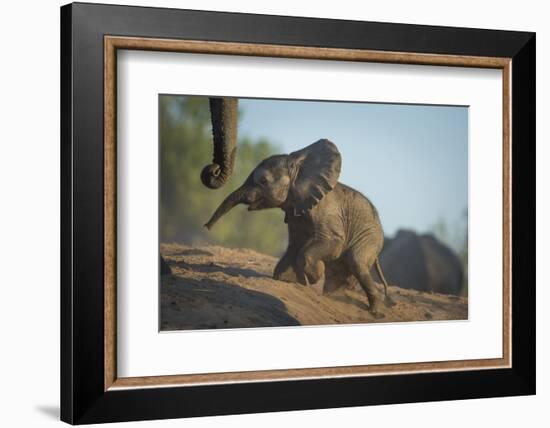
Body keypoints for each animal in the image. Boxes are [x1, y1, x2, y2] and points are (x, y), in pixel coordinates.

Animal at [207, 139, 392, 316]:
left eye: (263, 181)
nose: (207, 227)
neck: (298, 168)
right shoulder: (295, 212)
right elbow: (295, 245)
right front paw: (288, 280)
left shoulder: (325, 212)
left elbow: (329, 244)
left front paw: (314, 277)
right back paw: (332, 296)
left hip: (370, 237)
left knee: (356, 262)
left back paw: (375, 311)